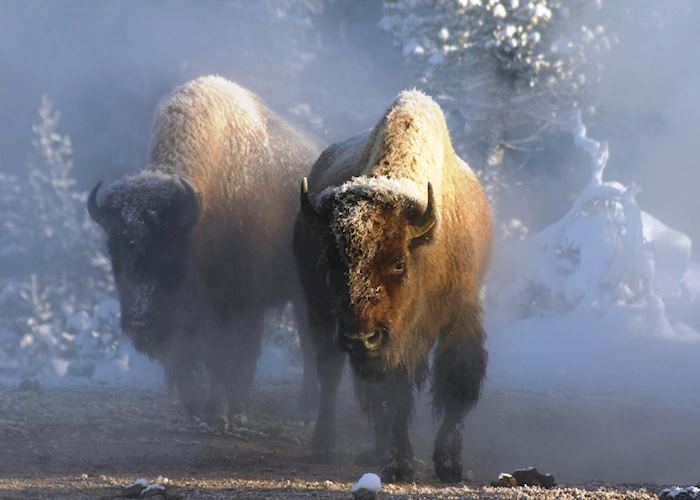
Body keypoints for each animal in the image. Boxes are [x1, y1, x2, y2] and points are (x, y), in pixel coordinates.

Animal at [87, 75, 320, 430]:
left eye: (169, 251)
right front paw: (198, 408)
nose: (141, 320)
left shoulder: (241, 303)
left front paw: (226, 412)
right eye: (114, 251)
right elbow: (191, 357)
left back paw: (306, 411)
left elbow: (232, 357)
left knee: (310, 346)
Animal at [296, 91, 492, 484]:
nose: (361, 338)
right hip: (321, 315)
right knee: (329, 377)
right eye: (331, 262)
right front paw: (400, 465)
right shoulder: (393, 344)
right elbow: (394, 398)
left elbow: (456, 384)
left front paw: (449, 465)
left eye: (399, 262)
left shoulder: (460, 314)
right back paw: (324, 447)